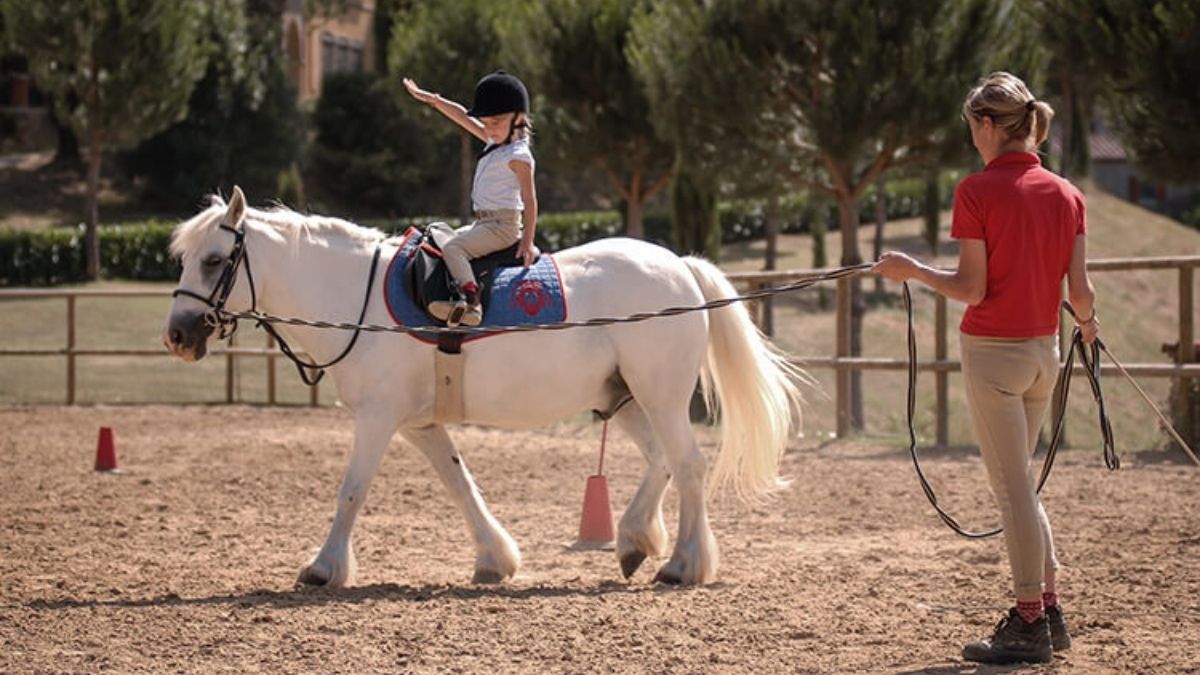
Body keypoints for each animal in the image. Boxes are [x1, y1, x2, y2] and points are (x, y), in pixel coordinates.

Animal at [159, 186, 796, 586]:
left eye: (215, 260)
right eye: (184, 259)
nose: (177, 334)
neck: (357, 297)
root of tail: (680, 266)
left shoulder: (377, 419)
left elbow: (351, 493)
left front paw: (323, 568)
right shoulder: (419, 425)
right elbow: (461, 485)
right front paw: (496, 559)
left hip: (660, 396)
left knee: (688, 465)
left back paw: (684, 564)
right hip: (626, 399)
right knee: (662, 462)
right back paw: (636, 540)